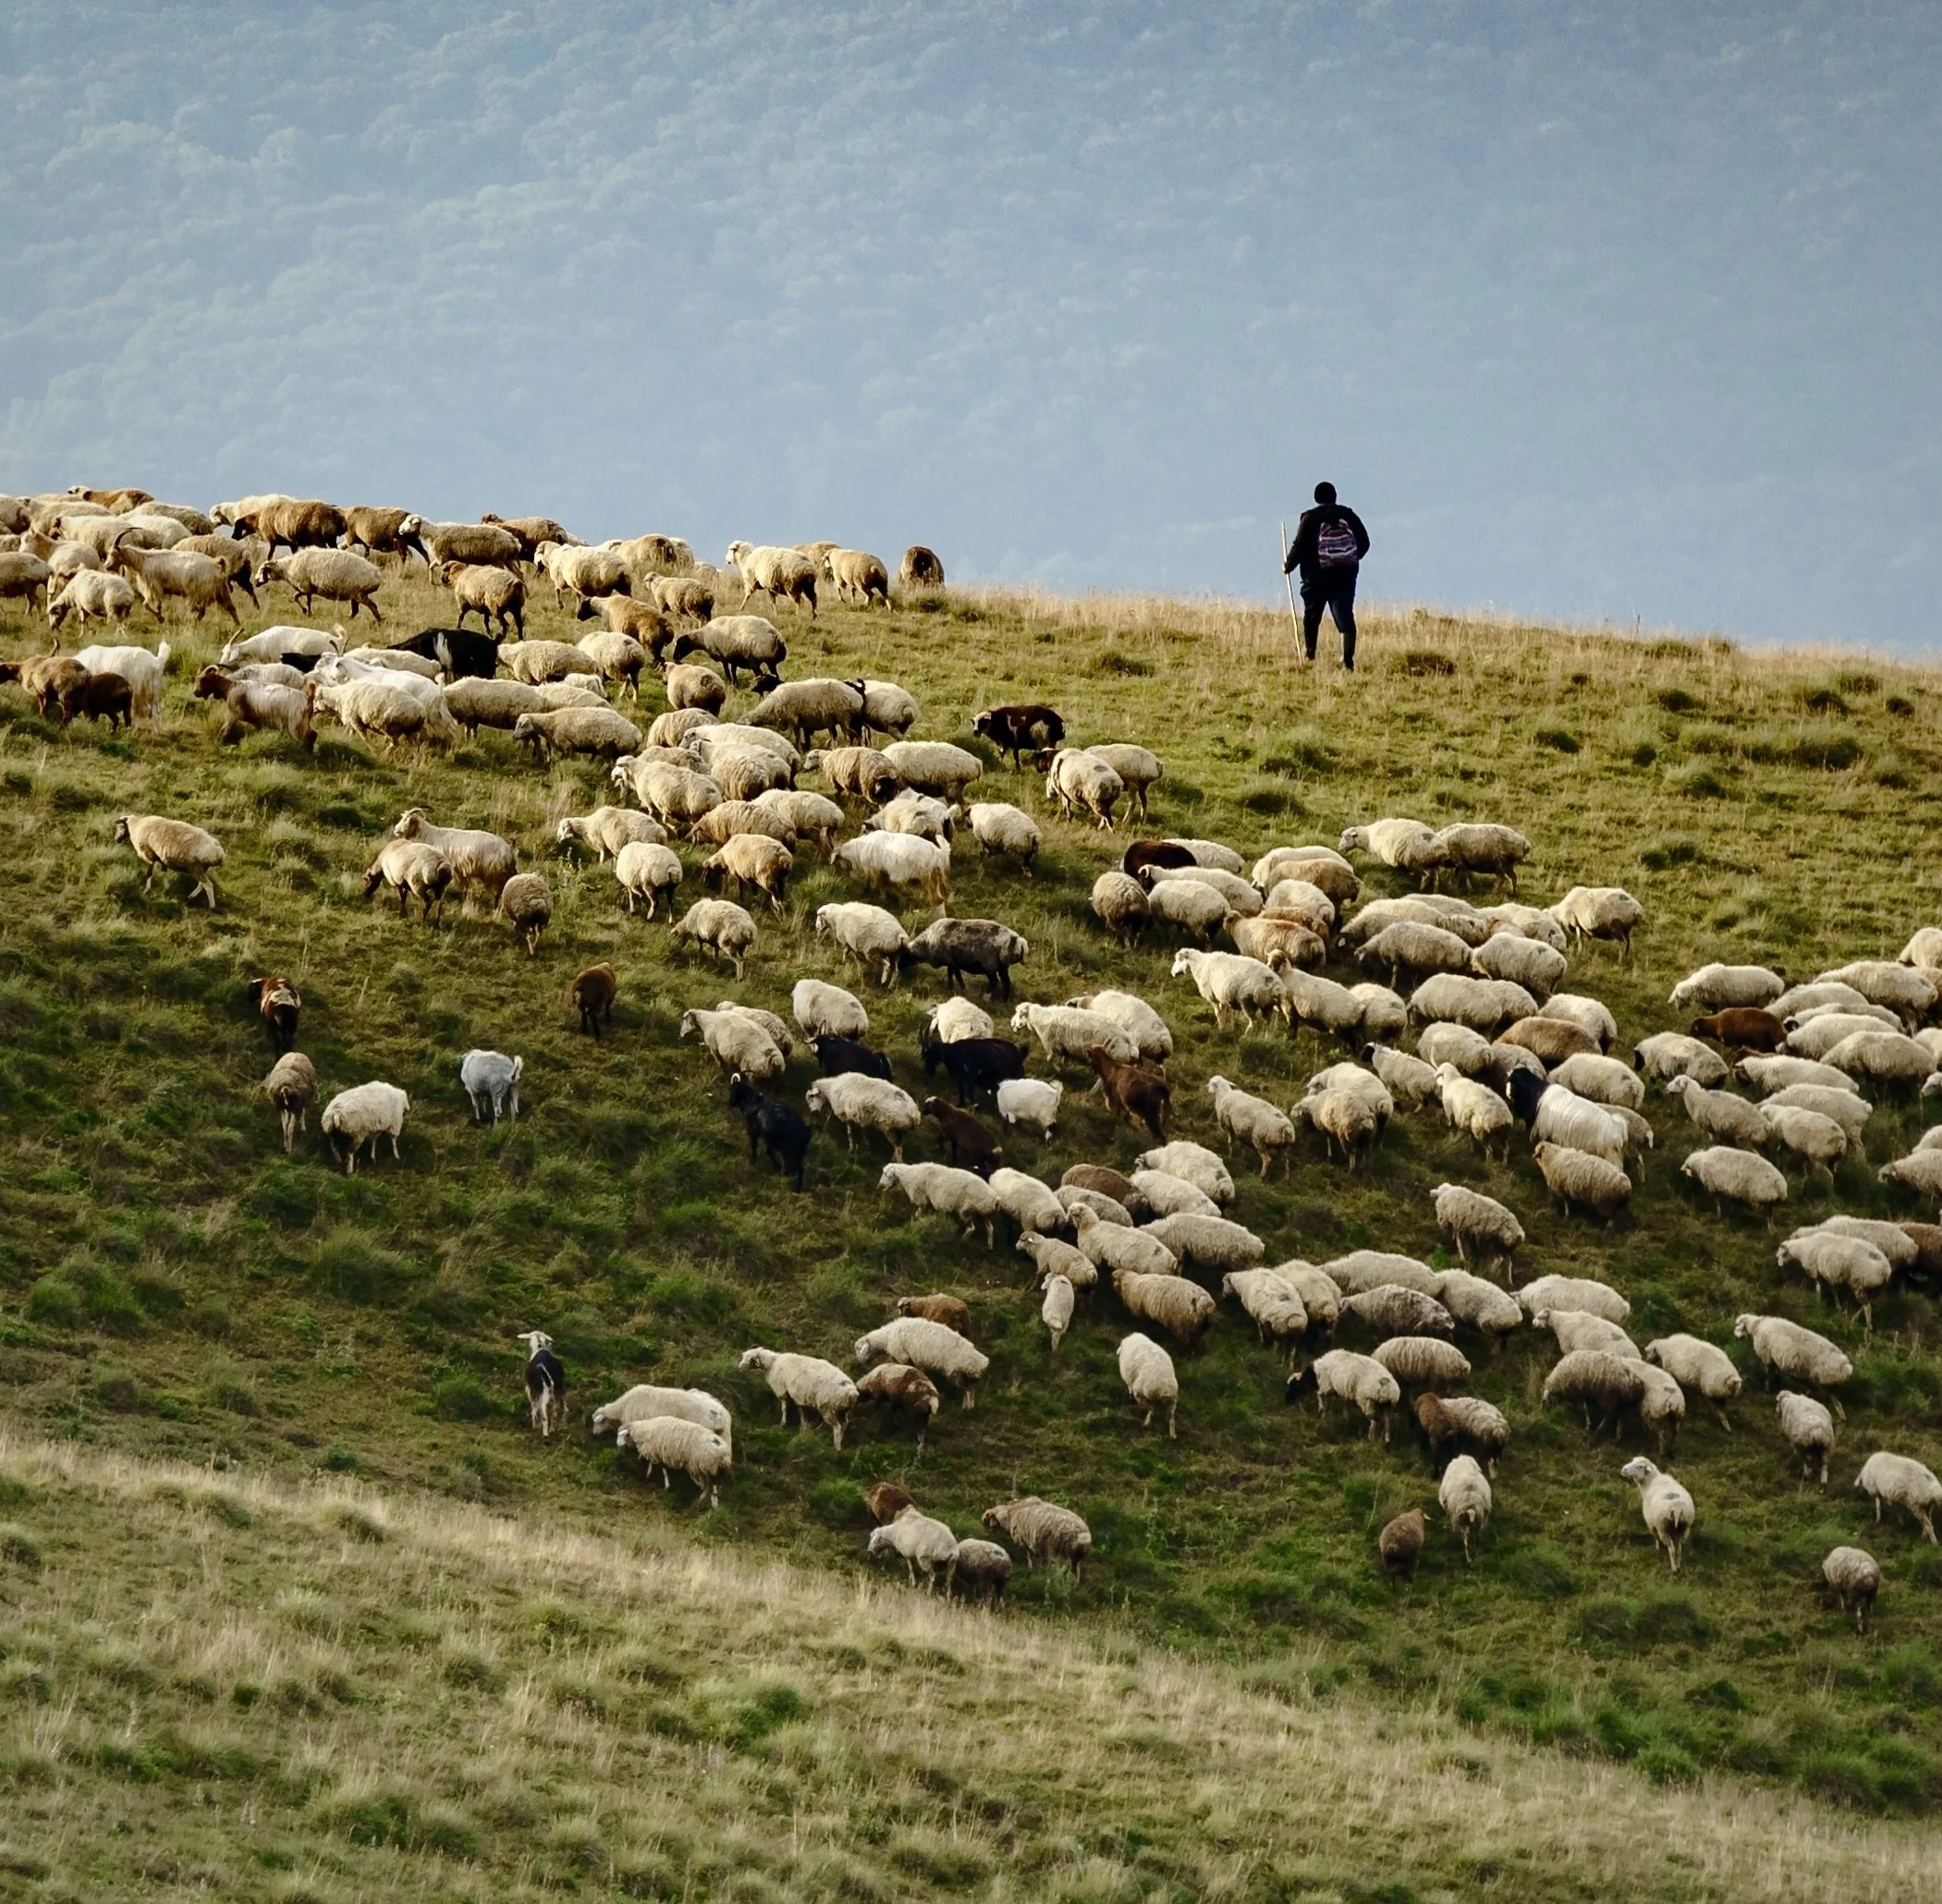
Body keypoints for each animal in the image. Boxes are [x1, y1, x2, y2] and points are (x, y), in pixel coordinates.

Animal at [256, 549, 383, 621]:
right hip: (355, 595)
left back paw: (379, 622)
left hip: (359, 594)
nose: (256, 582)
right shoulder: (308, 589)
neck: (287, 568)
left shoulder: (305, 587)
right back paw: (347, 620)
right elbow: (301, 598)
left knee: (373, 606)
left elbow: (299, 598)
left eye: (262, 571)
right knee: (356, 610)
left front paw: (306, 612)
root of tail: (377, 575)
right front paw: (307, 612)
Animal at [738, 1346, 858, 1448]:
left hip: (828, 1406)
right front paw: (803, 1427)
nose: (738, 1367)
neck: (772, 1363)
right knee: (844, 1424)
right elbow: (801, 1410)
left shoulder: (782, 1390)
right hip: (842, 1409)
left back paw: (836, 1448)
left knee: (837, 1427)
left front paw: (782, 1424)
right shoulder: (797, 1395)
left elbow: (784, 1408)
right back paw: (839, 1441)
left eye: (749, 1359)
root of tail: (851, 1392)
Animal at [855, 1316, 990, 1408]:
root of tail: (981, 1361)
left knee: (968, 1390)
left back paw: (966, 1406)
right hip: (967, 1375)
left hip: (959, 1372)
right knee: (971, 1389)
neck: (886, 1337)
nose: (858, 1362)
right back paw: (969, 1406)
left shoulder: (902, 1355)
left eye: (858, 1350)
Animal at [879, 1161, 1000, 1246]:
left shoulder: (922, 1199)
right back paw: (990, 1247)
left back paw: (959, 1242)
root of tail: (995, 1199)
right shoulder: (928, 1202)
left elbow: (918, 1213)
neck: (908, 1176)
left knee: (971, 1228)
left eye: (885, 1174)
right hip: (982, 1212)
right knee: (990, 1228)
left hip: (967, 1209)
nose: (881, 1186)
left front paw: (915, 1223)